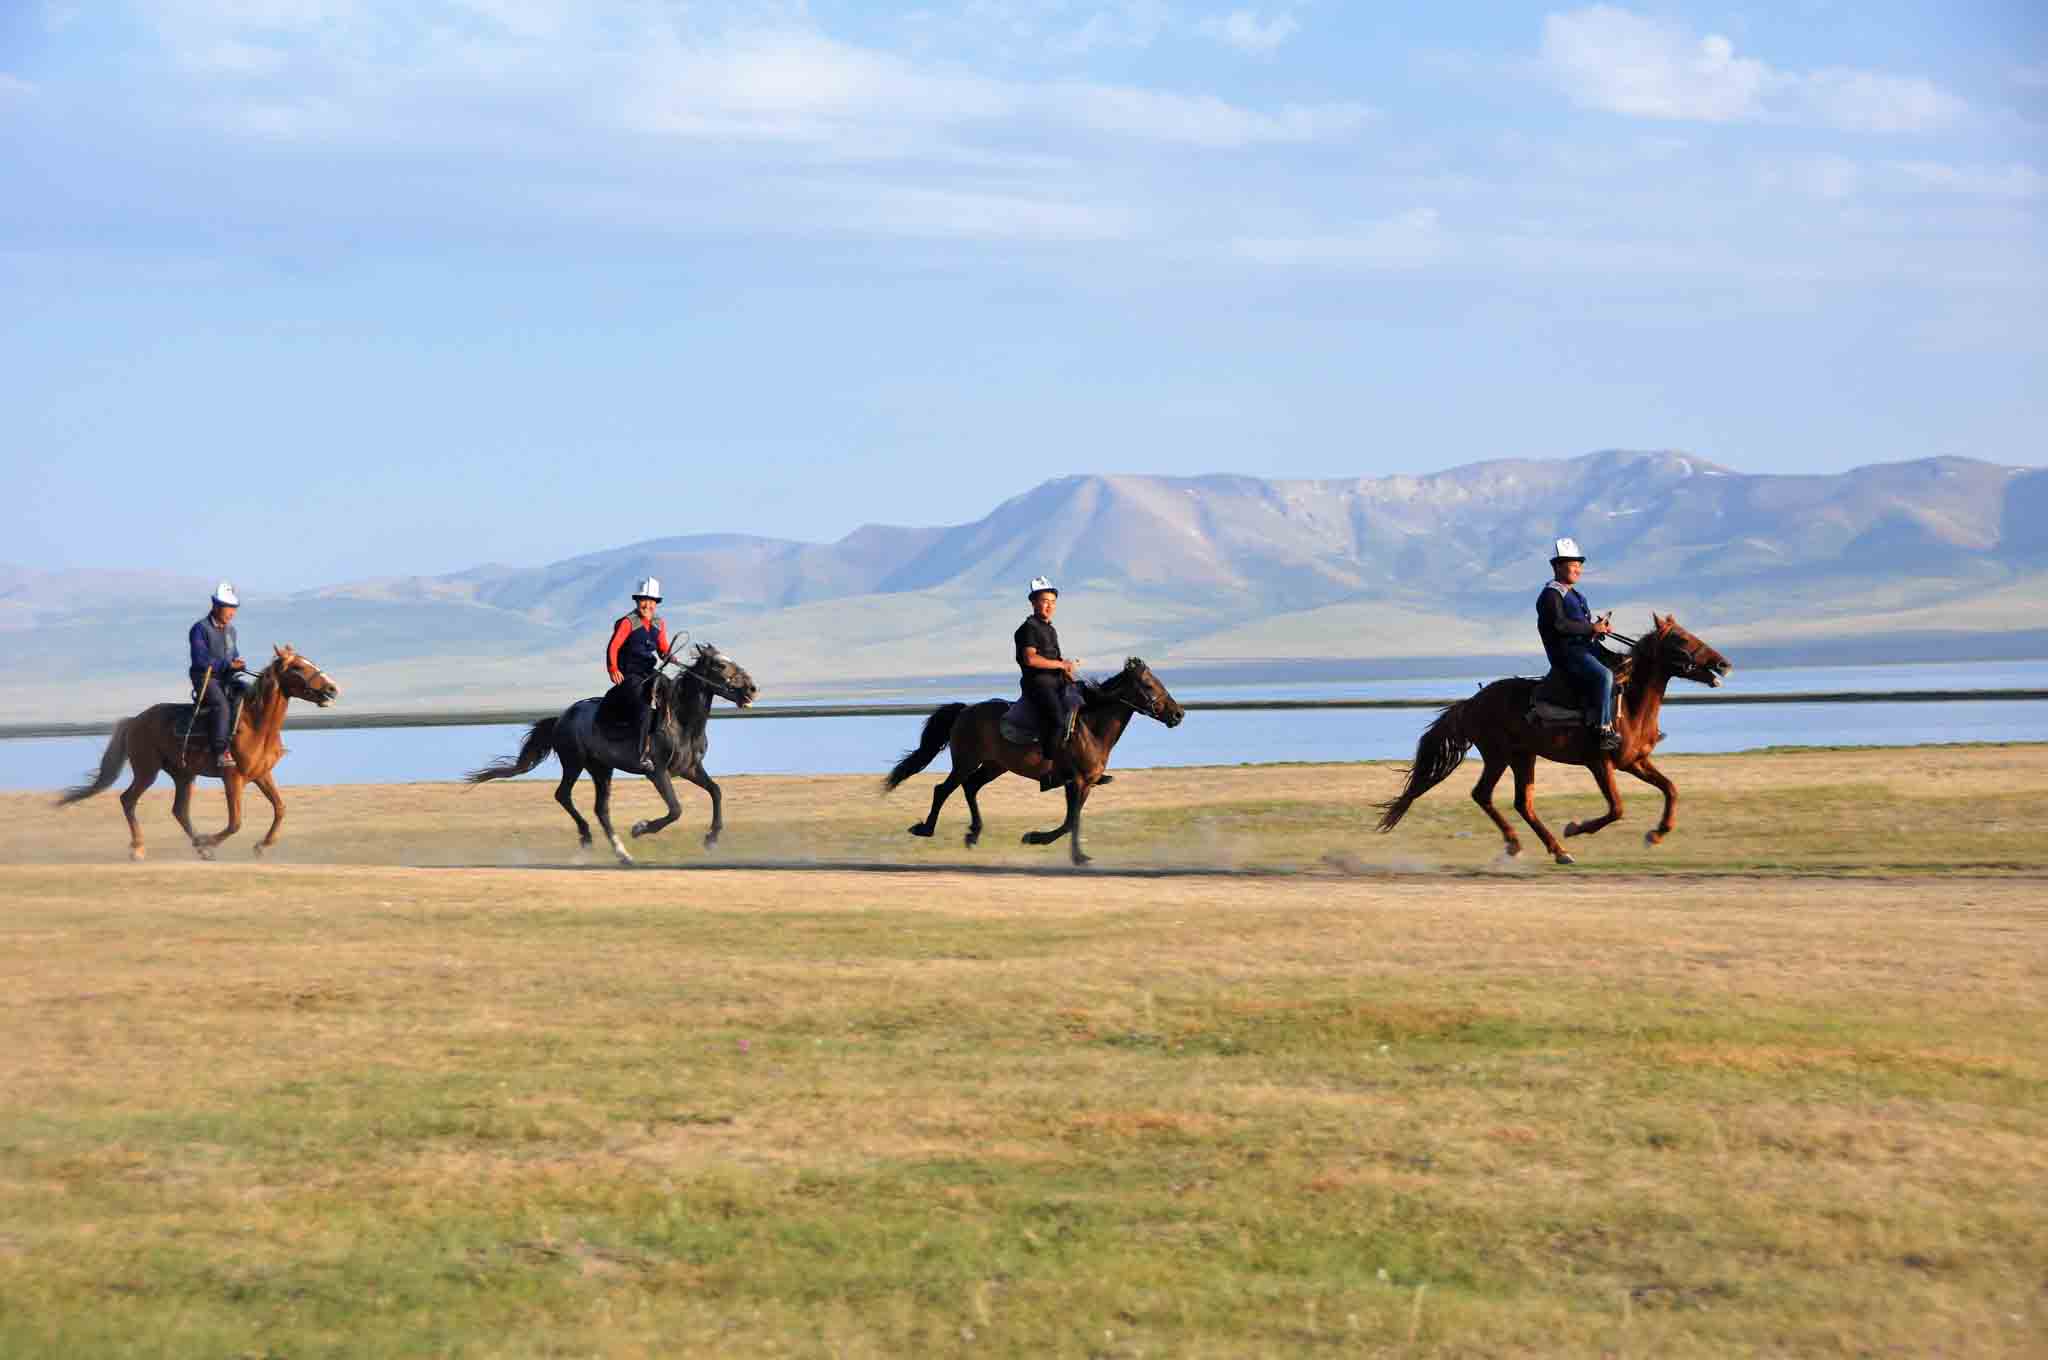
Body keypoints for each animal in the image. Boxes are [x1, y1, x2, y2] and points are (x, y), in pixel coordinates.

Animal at [55, 647, 339, 860]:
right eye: (298, 667)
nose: (332, 689)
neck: (257, 725)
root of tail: (135, 721)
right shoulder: (232, 778)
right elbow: (235, 822)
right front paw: (210, 841)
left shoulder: (262, 775)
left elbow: (280, 808)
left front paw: (260, 845)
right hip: (147, 771)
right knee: (128, 800)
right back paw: (139, 848)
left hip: (183, 775)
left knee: (179, 810)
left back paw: (199, 848)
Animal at [464, 647, 753, 860]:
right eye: (720, 665)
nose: (751, 689)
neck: (682, 721)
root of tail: (561, 718)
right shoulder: (657, 772)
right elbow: (675, 810)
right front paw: (640, 828)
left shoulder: (689, 769)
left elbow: (716, 791)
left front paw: (711, 839)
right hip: (575, 763)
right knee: (563, 795)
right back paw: (589, 838)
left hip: (601, 769)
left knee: (600, 809)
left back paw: (622, 853)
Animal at [880, 659, 1187, 872]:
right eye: (1149, 685)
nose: (1178, 714)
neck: (1091, 728)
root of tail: (966, 709)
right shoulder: (1075, 781)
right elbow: (1071, 821)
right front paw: (1055, 847)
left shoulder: (1085, 784)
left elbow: (1071, 821)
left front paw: (1059, 848)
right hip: (967, 761)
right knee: (943, 789)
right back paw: (926, 829)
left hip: (994, 765)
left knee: (970, 787)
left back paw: (973, 833)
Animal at [1376, 614, 1728, 860]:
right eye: (1681, 639)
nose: (1723, 664)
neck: (1630, 706)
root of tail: (1471, 703)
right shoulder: (1600, 763)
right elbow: (1616, 809)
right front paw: (1574, 828)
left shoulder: (1634, 762)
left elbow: (1671, 789)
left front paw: (1656, 834)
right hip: (1499, 755)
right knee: (1483, 794)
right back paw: (1522, 844)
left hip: (1523, 757)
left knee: (1522, 803)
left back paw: (1556, 850)